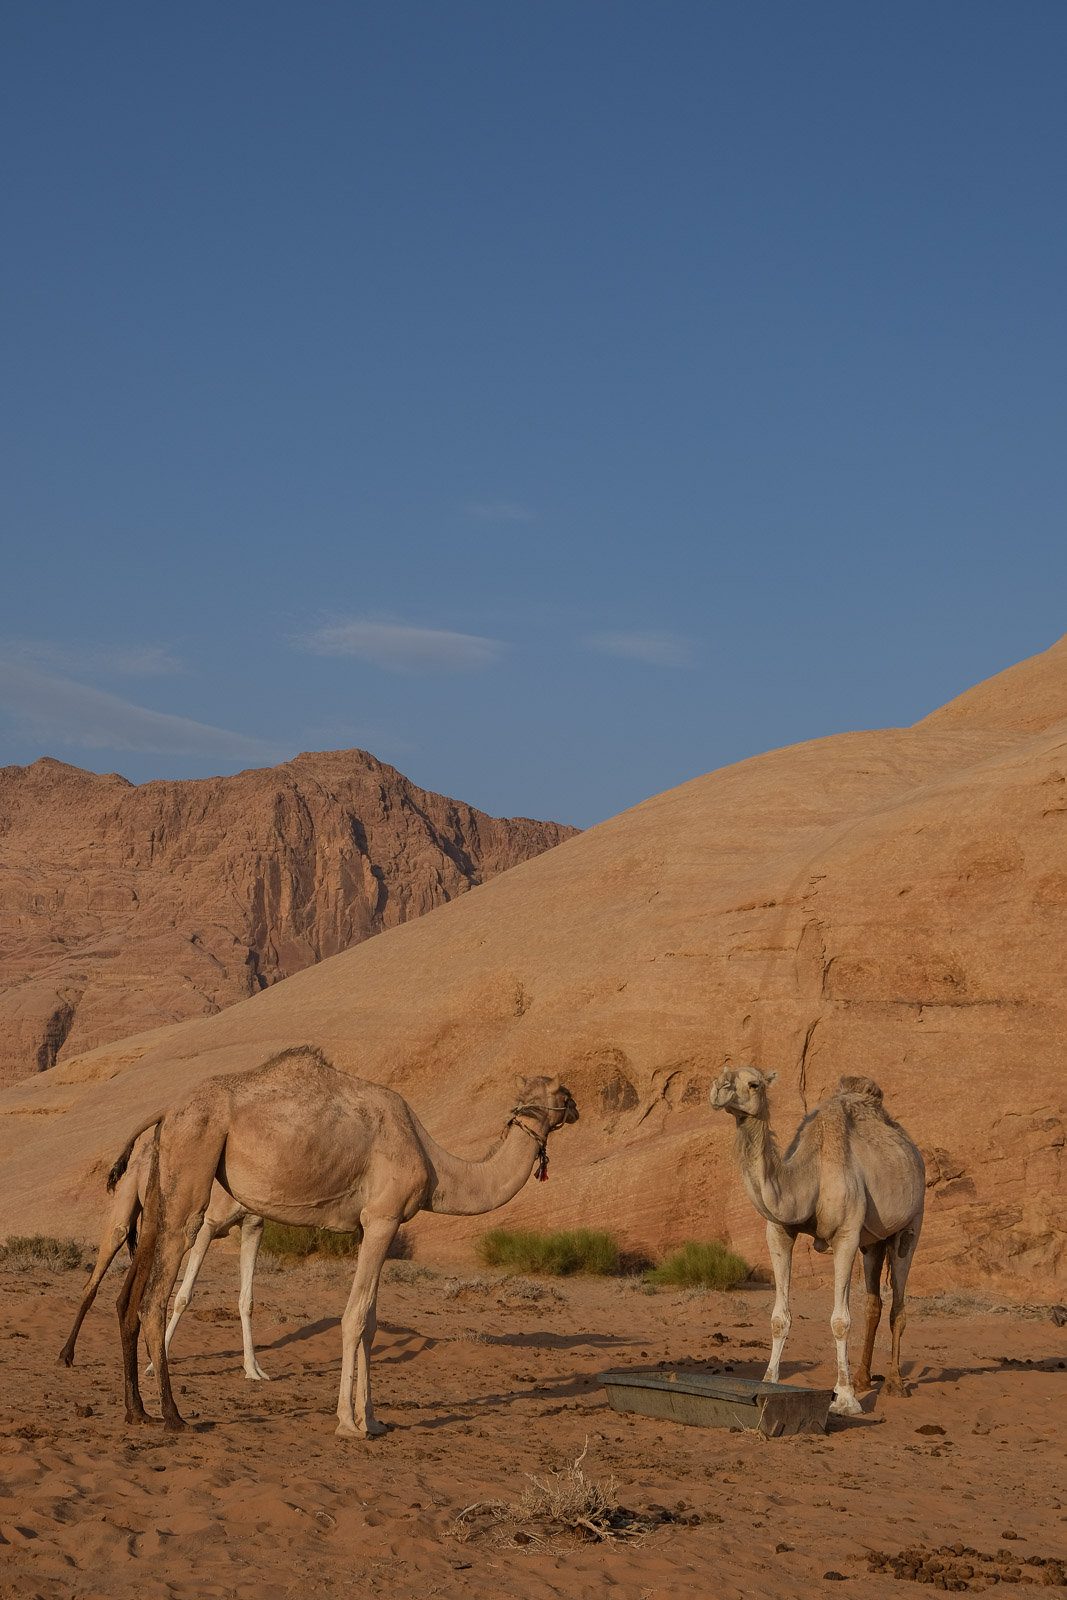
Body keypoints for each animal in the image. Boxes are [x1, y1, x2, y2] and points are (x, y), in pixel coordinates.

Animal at [58, 1131, 270, 1380]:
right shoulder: (205, 1227)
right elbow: (183, 1296)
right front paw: (153, 1365)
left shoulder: (253, 1225)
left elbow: (247, 1301)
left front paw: (253, 1370)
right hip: (127, 1204)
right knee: (96, 1275)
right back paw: (66, 1355)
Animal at [113, 1045, 578, 1437]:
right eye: (563, 1090)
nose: (575, 1108)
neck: (435, 1166)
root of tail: (168, 1109)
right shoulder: (383, 1217)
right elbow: (354, 1317)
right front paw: (348, 1424)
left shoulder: (366, 1227)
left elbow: (370, 1322)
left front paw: (373, 1420)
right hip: (194, 1157)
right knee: (156, 1293)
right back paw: (173, 1416)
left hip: (161, 1182)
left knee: (131, 1292)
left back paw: (136, 1412)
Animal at [709, 1067, 924, 1415]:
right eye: (722, 1074)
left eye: (753, 1083)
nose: (718, 1090)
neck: (810, 1174)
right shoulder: (779, 1232)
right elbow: (779, 1318)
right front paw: (769, 1382)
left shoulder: (847, 1235)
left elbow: (840, 1320)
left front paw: (845, 1398)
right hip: (872, 1242)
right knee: (873, 1303)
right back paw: (863, 1378)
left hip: (912, 1222)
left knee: (898, 1305)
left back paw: (895, 1384)